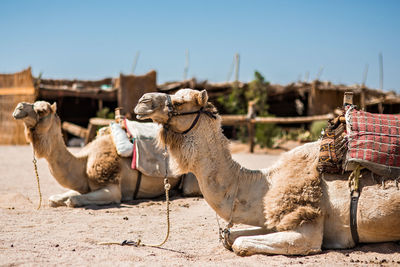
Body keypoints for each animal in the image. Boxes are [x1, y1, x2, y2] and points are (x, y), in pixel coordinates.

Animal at [12, 101, 184, 208]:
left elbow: (72, 200)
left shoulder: (113, 189)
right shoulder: (84, 186)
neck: (83, 163)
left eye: (42, 110)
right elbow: (53, 199)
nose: (19, 108)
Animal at [134, 89, 400, 258]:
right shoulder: (273, 219)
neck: (265, 183)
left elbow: (239, 243)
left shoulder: (308, 227)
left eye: (180, 102)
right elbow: (230, 236)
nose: (143, 100)